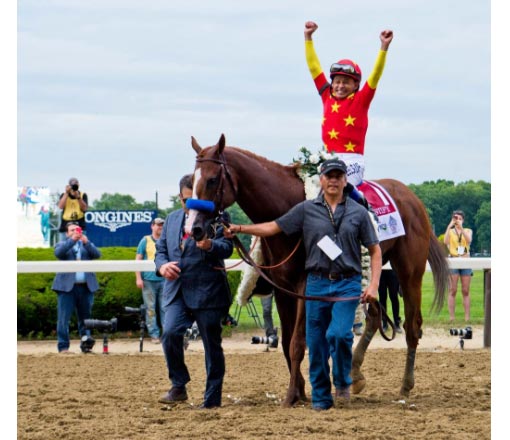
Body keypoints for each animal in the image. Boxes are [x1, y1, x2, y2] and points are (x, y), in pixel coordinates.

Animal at [189, 133, 448, 406]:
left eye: (212, 179)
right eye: (192, 179)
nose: (195, 228)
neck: (285, 207)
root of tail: (412, 197)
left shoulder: (305, 285)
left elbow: (297, 342)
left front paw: (292, 395)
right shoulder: (283, 290)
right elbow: (286, 341)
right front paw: (301, 390)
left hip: (409, 272)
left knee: (412, 326)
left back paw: (405, 385)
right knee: (375, 317)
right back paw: (356, 374)